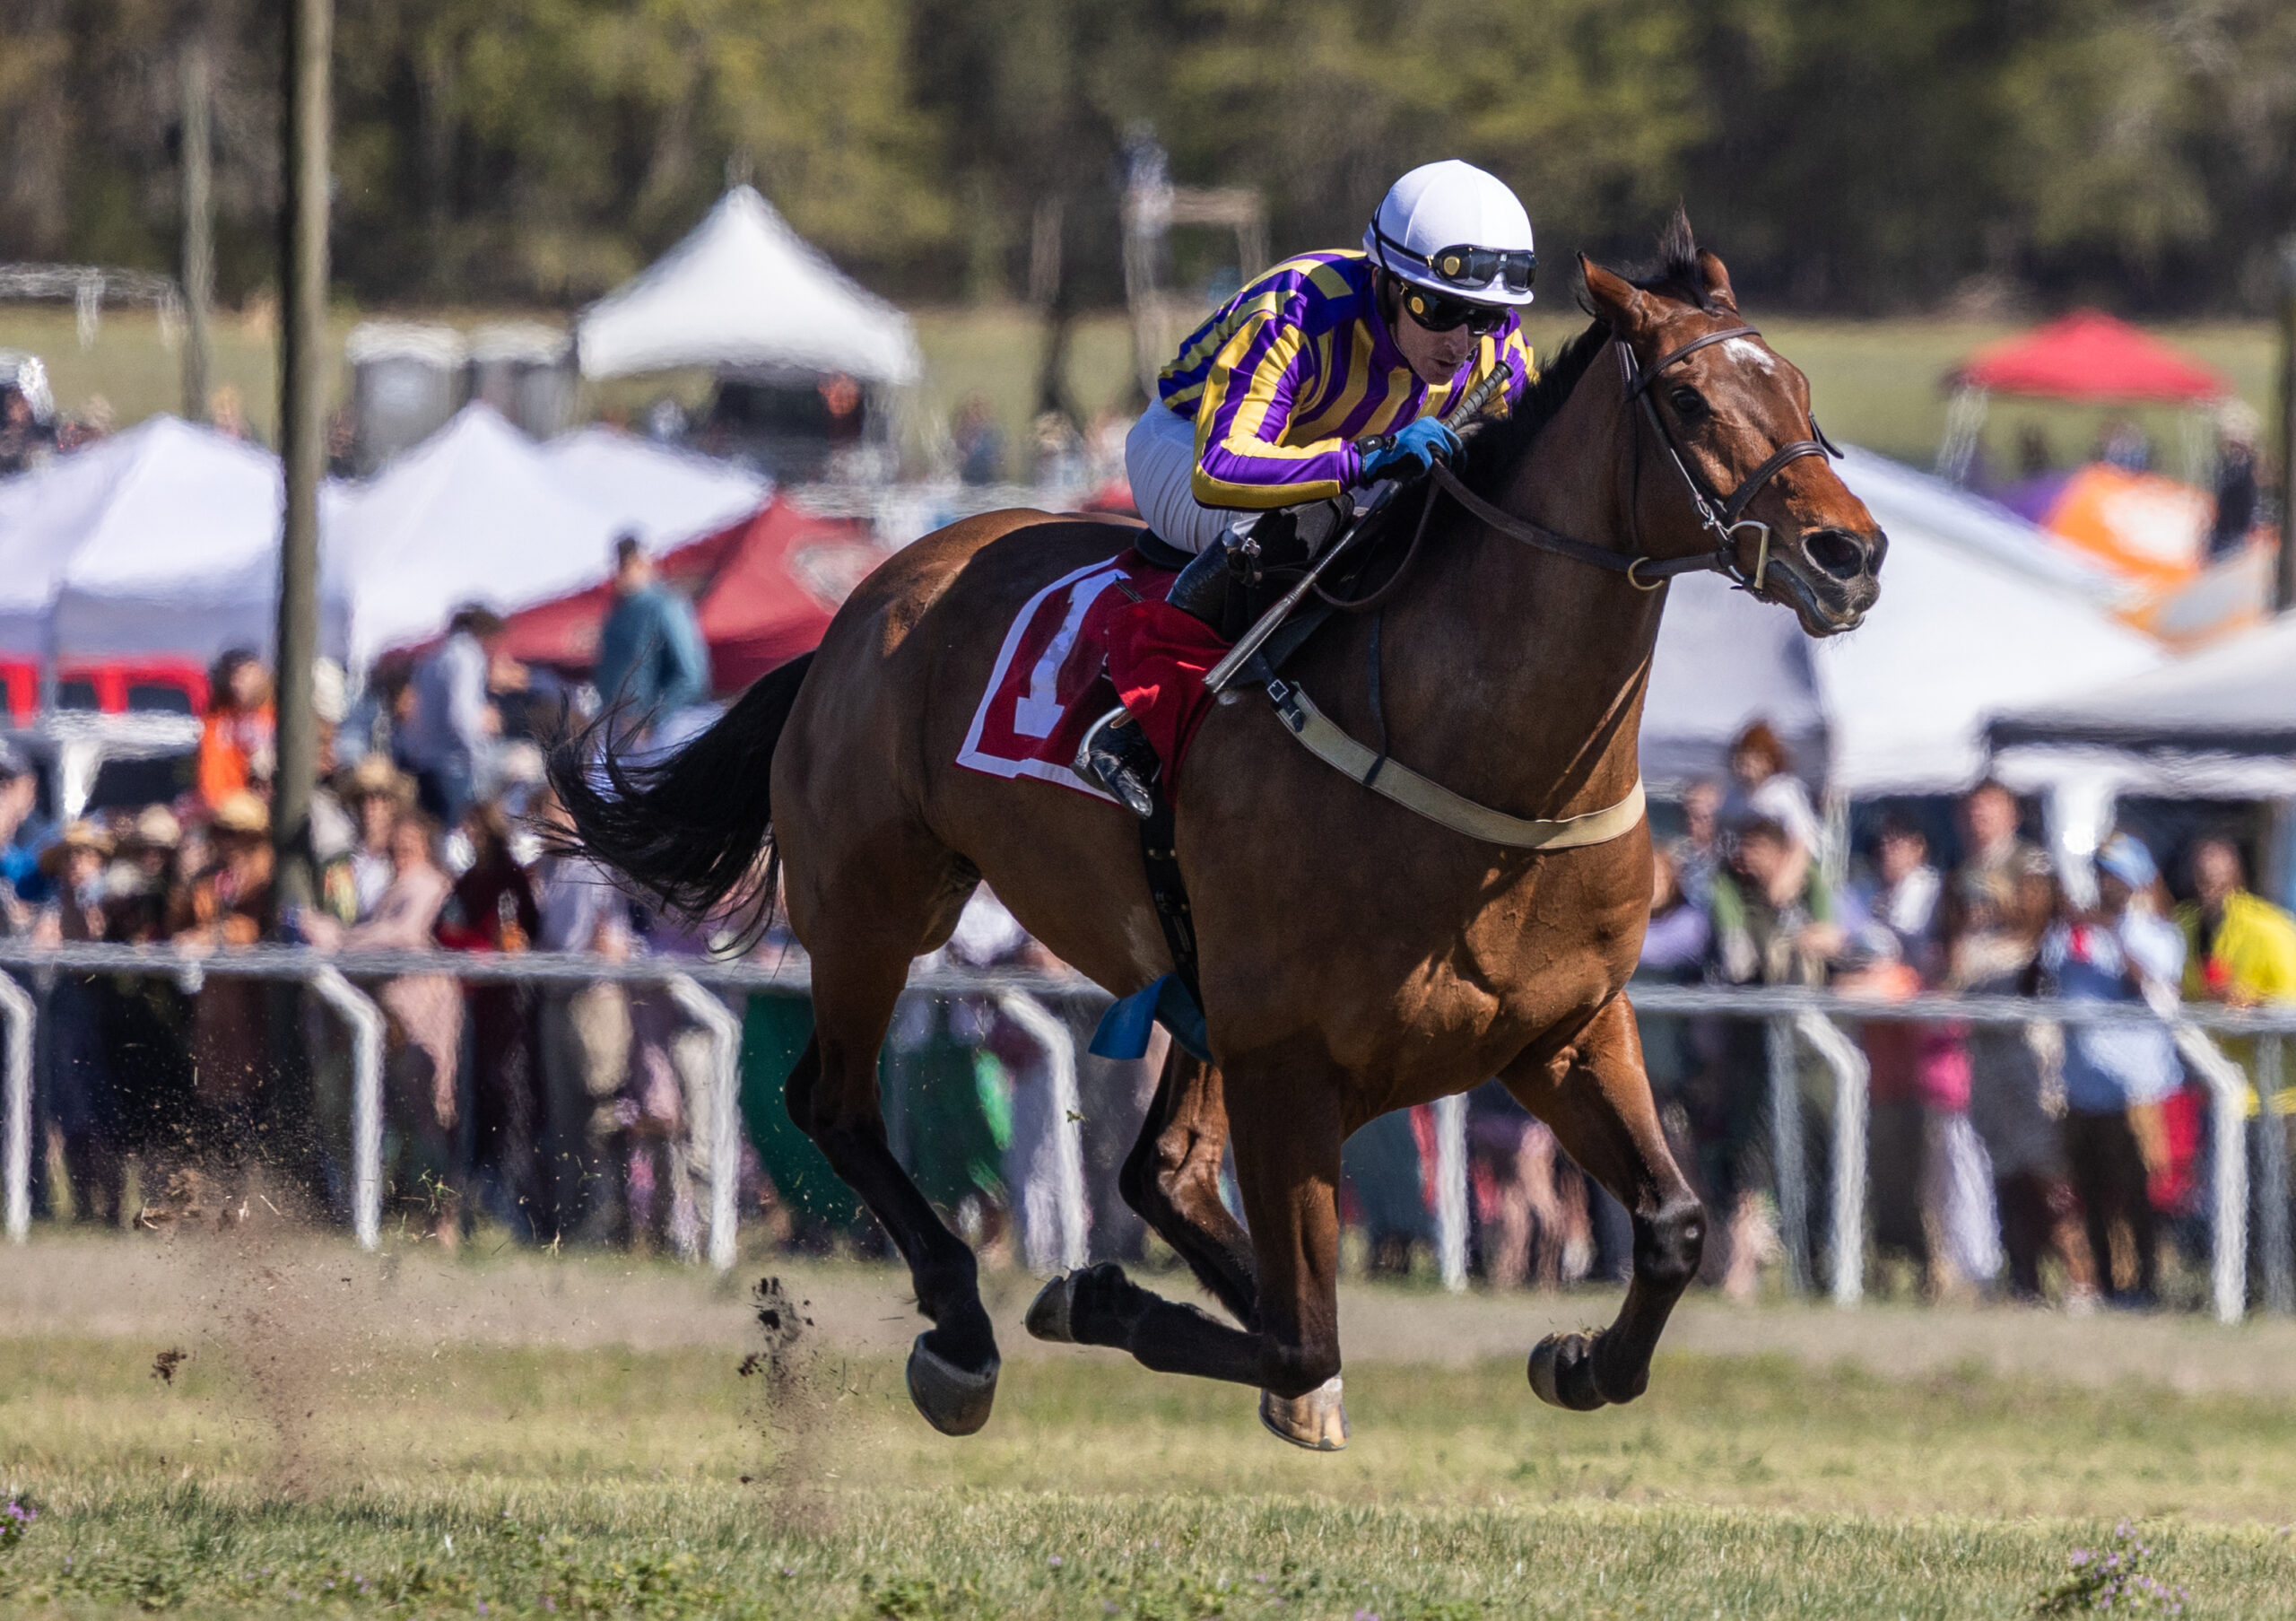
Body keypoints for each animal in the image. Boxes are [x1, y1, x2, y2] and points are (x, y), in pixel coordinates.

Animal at [553, 213, 1885, 1448]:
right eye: (1688, 397)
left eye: (1801, 388)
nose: (1850, 551)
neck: (1482, 766)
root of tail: (862, 604)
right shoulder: (1288, 1054)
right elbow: (1304, 1336)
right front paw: (1099, 1301)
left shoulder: (1561, 1027)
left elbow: (1673, 1225)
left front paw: (1578, 1359)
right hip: (881, 902)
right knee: (835, 1102)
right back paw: (965, 1333)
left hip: (1178, 974)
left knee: (1160, 1169)